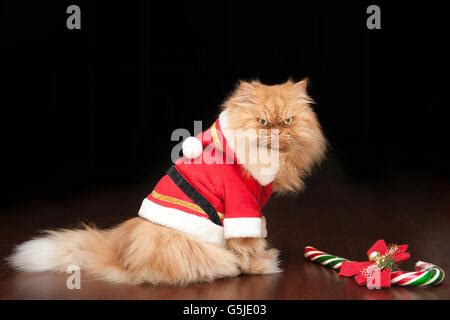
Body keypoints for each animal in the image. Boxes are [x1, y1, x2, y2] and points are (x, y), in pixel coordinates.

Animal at [7, 79, 326, 284]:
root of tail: (121, 250)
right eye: (262, 123)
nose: (276, 131)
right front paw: (263, 264)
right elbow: (248, 244)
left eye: (287, 121)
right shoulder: (241, 205)